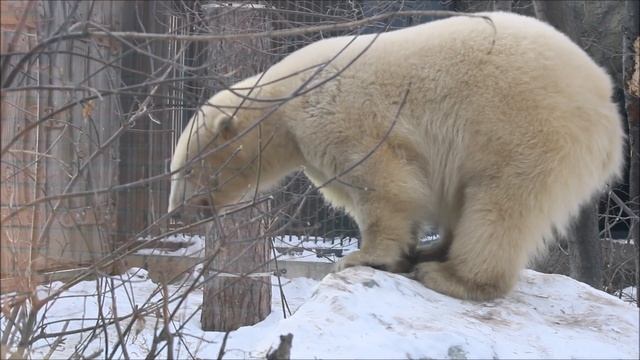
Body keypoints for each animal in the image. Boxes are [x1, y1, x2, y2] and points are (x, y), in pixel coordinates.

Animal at [168, 12, 624, 300]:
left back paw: (452, 276)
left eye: (185, 171)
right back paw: (434, 251)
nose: (176, 214)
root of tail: (606, 106)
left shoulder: (341, 117)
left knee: (501, 204)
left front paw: (360, 257)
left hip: (526, 130)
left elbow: (384, 185)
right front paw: (400, 249)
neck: (285, 99)